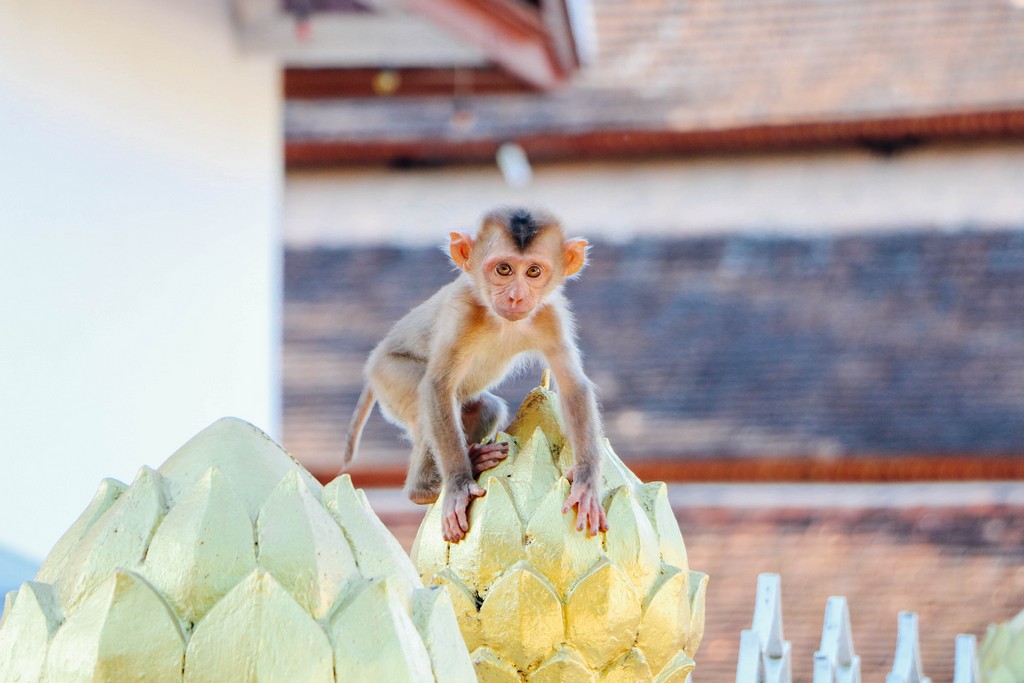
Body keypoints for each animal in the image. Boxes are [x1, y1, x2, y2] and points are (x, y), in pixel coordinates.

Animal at [344, 205, 606, 540]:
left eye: (533, 272)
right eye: (504, 269)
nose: (516, 296)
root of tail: (372, 366)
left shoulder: (550, 316)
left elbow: (573, 386)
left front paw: (586, 482)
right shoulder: (462, 311)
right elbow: (437, 387)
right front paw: (458, 485)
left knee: (484, 407)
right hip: (390, 375)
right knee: (427, 403)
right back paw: (427, 488)